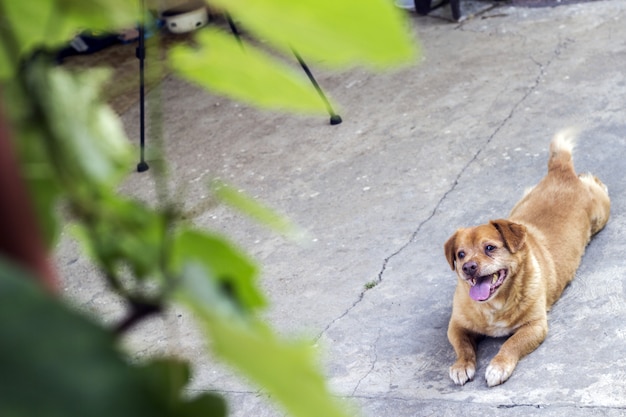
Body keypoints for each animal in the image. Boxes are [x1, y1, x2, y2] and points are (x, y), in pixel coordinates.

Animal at [442, 131, 608, 386]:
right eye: (460, 255)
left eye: (489, 248)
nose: (468, 267)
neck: (494, 305)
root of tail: (560, 171)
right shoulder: (456, 326)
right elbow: (463, 346)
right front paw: (461, 366)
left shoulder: (535, 325)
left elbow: (511, 344)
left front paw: (498, 366)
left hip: (602, 215)